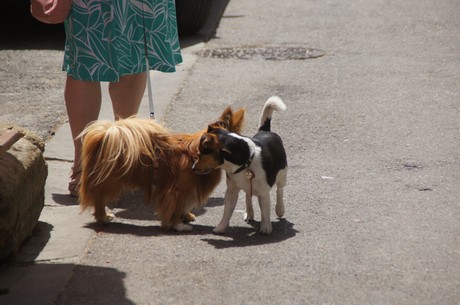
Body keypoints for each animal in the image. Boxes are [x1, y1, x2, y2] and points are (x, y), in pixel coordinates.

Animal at [78, 107, 244, 230]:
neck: (197, 153)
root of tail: (104, 136)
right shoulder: (177, 191)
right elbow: (176, 208)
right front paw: (178, 225)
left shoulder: (187, 190)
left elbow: (184, 206)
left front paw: (186, 216)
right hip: (110, 183)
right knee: (99, 199)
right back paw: (103, 217)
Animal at [191, 96, 288, 234]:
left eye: (200, 153)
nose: (193, 168)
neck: (246, 162)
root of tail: (265, 131)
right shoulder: (231, 192)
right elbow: (227, 213)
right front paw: (221, 228)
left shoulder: (264, 194)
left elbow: (265, 212)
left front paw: (266, 227)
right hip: (249, 186)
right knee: (248, 195)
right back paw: (249, 212)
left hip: (282, 175)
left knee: (279, 191)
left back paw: (279, 209)